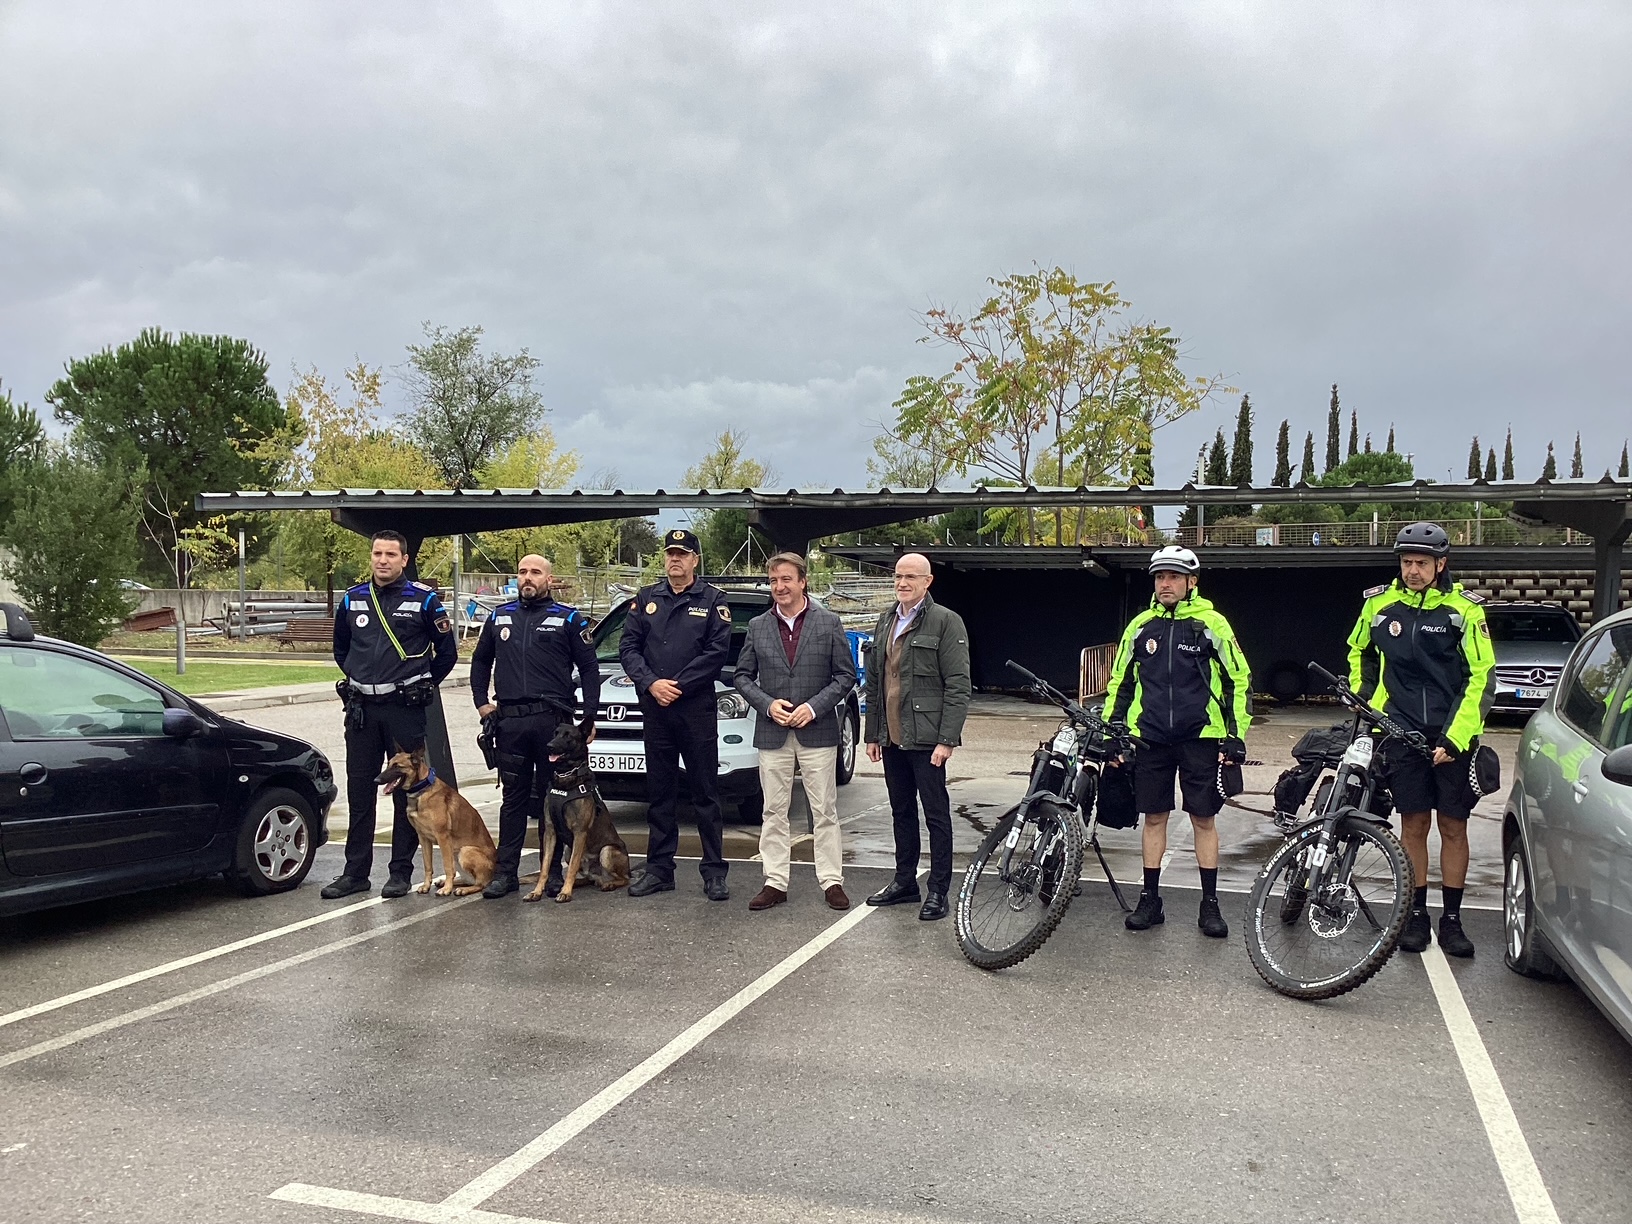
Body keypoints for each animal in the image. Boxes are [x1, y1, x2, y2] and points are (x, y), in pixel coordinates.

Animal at [376, 744, 496, 894]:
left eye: (397, 766)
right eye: (388, 765)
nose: (376, 780)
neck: (421, 790)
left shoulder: (442, 837)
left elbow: (447, 866)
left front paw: (447, 889)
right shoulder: (423, 838)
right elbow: (428, 866)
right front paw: (427, 886)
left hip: (465, 851)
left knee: (480, 884)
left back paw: (462, 889)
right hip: (456, 854)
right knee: (467, 878)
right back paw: (446, 882)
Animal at [535, 724, 636, 907]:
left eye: (568, 736)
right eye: (555, 733)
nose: (549, 746)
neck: (566, 777)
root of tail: (597, 876)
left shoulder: (580, 832)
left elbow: (572, 868)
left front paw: (565, 893)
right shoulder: (550, 832)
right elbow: (545, 866)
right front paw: (537, 892)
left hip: (607, 851)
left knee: (624, 879)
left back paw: (608, 884)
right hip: (568, 850)